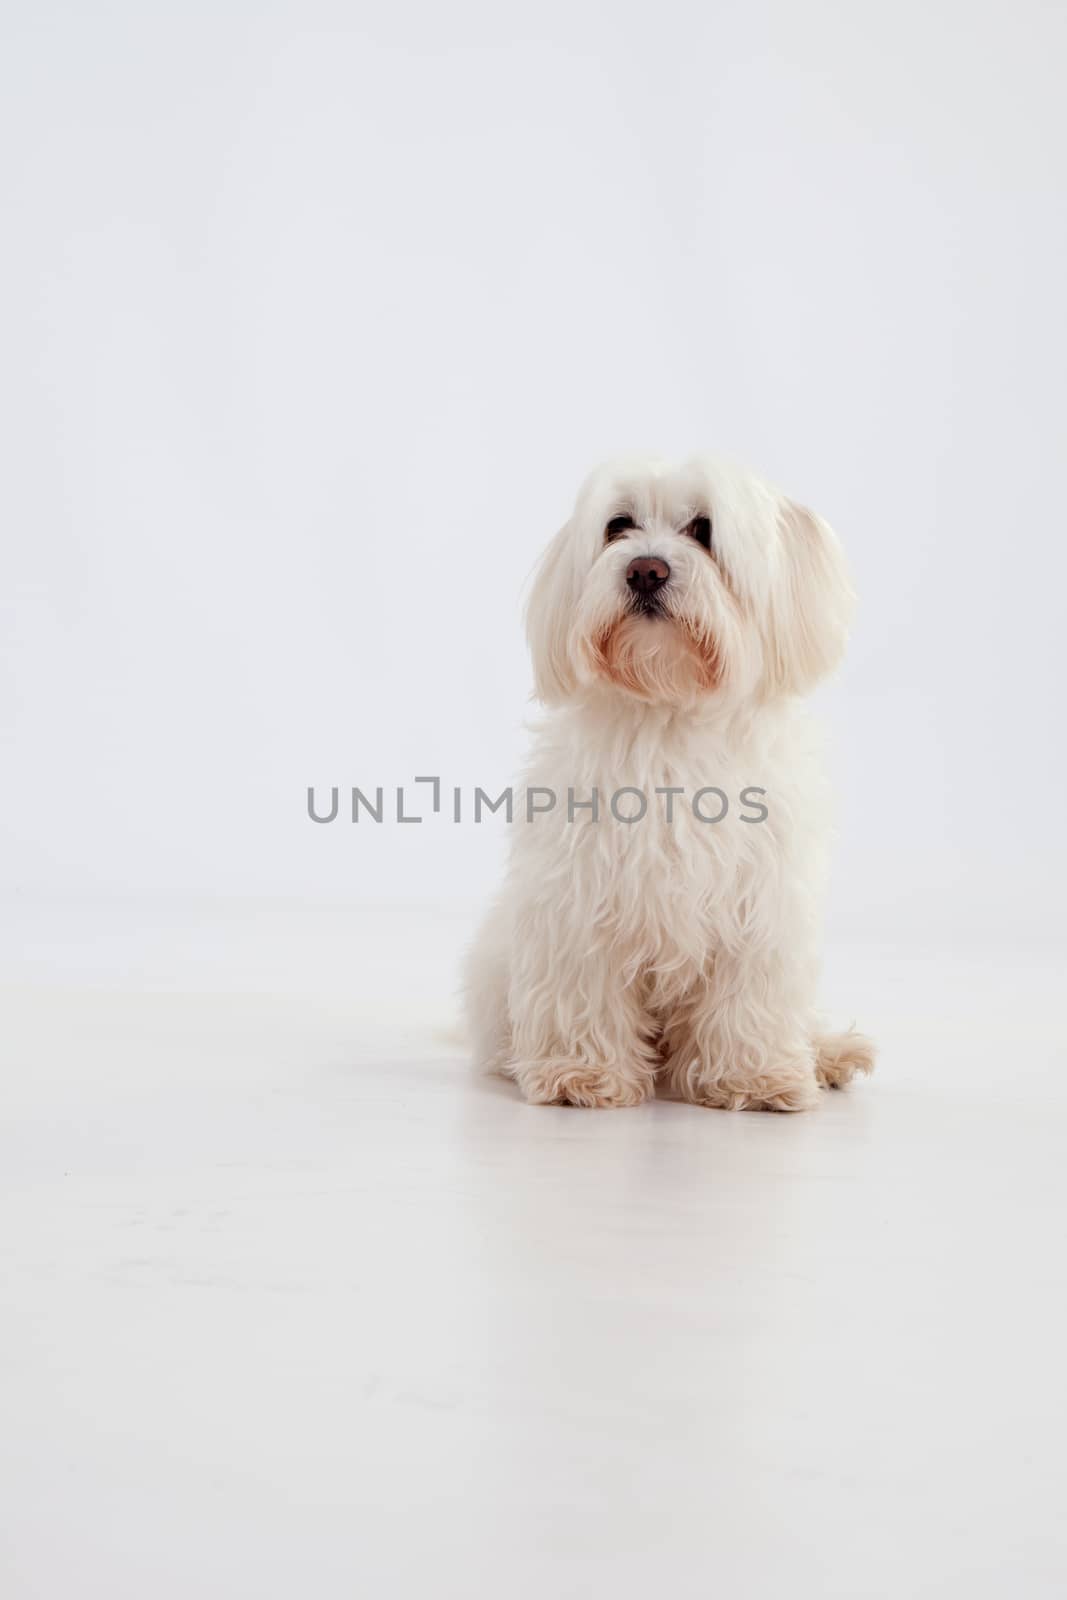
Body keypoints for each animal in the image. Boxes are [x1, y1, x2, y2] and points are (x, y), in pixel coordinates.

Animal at [467, 454, 876, 1113]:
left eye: (704, 530)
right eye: (618, 526)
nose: (645, 569)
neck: (670, 711)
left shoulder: (760, 905)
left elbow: (748, 999)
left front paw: (755, 1076)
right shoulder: (579, 897)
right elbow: (584, 988)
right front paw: (583, 1071)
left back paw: (828, 1052)